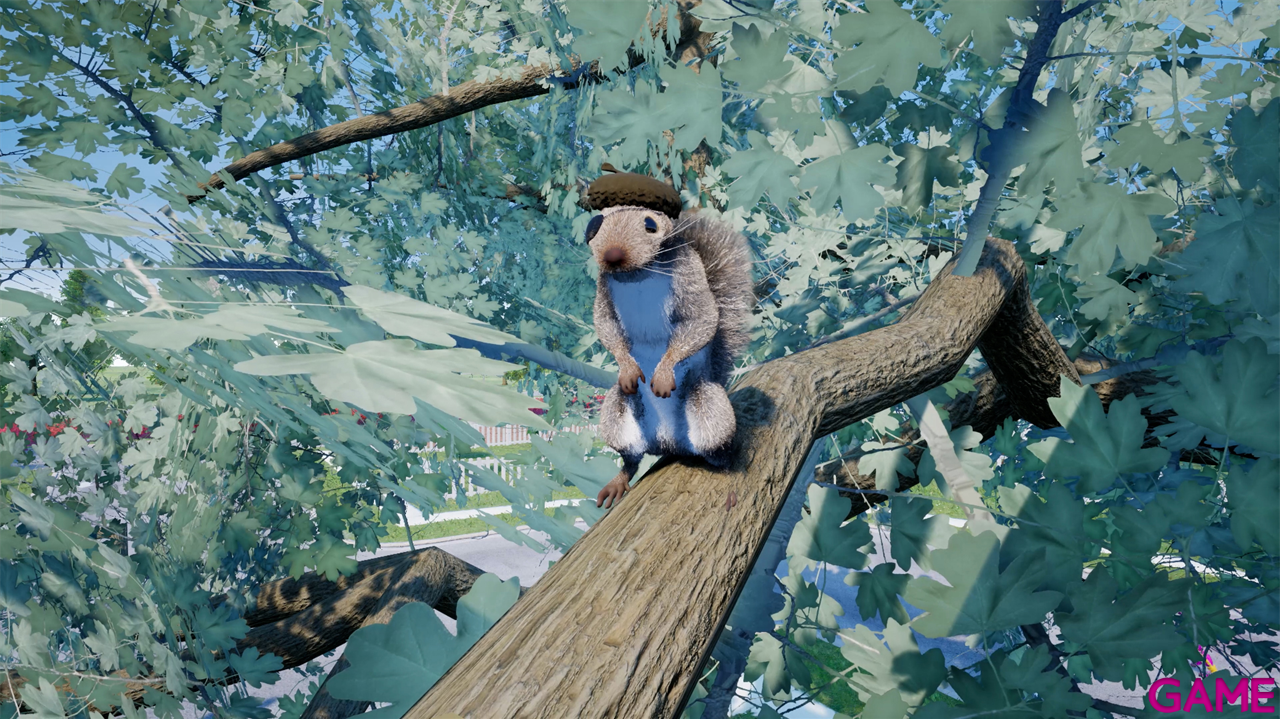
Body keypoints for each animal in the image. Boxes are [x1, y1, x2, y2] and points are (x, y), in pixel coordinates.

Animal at [584, 167, 753, 509]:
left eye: (650, 224)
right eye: (593, 226)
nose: (612, 255)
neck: (637, 275)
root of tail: (669, 444)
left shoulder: (689, 274)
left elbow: (701, 319)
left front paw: (662, 374)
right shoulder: (603, 290)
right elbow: (606, 326)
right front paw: (627, 368)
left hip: (710, 413)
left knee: (720, 452)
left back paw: (729, 476)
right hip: (617, 416)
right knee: (631, 459)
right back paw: (618, 481)